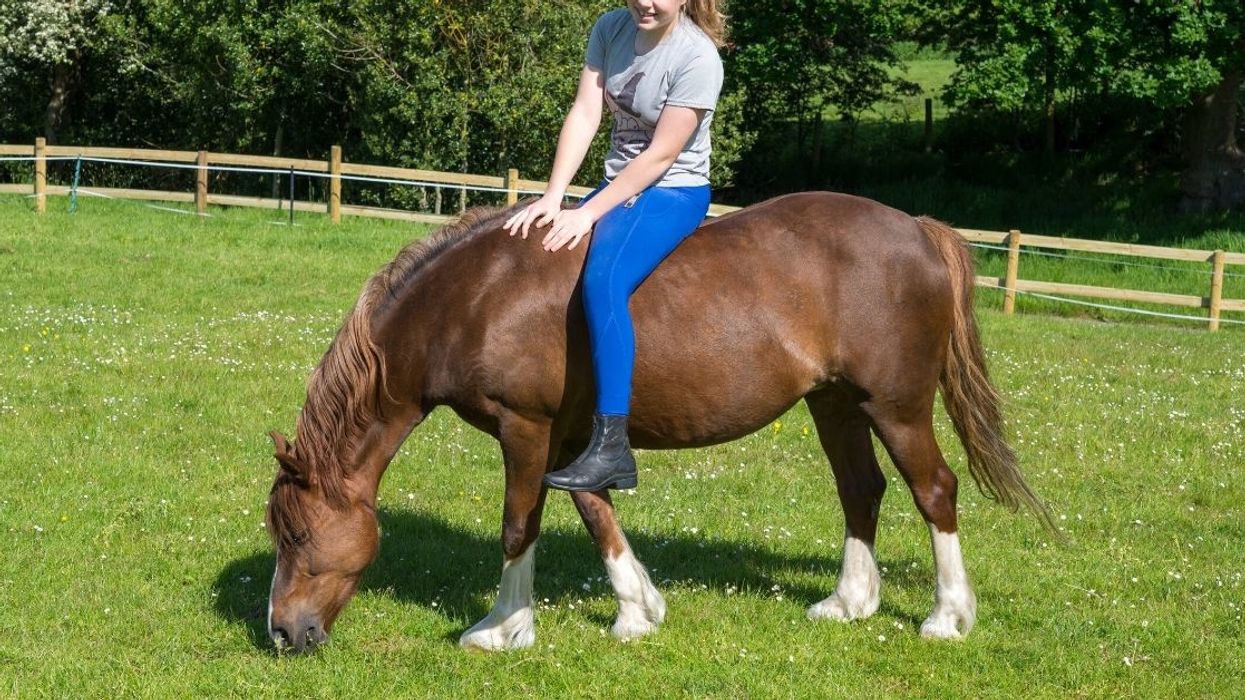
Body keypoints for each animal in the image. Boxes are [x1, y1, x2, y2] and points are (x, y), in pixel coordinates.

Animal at [263, 191, 1049, 654]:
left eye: (297, 536)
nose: (282, 633)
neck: (476, 299)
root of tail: (916, 228)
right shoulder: (573, 438)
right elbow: (593, 509)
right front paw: (637, 608)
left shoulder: (526, 428)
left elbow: (520, 525)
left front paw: (503, 626)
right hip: (833, 403)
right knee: (861, 490)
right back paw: (848, 602)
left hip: (896, 406)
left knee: (934, 490)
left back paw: (947, 617)